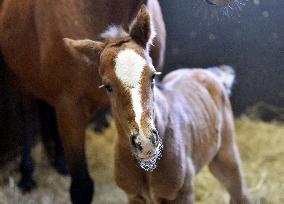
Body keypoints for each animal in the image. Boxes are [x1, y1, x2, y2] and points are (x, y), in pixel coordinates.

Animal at [0, 0, 235, 204]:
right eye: (107, 86)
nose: (145, 142)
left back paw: (59, 162)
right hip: (19, 79)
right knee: (28, 117)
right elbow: (82, 187)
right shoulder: (70, 108)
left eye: (152, 76)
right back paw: (27, 175)